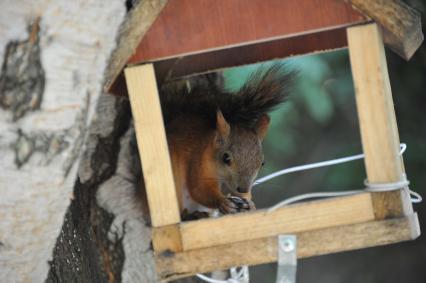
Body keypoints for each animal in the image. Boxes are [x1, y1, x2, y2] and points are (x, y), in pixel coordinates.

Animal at [141, 65, 294, 220]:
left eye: (262, 163)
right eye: (225, 158)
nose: (243, 188)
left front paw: (250, 204)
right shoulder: (198, 162)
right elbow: (198, 189)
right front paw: (223, 202)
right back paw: (189, 215)